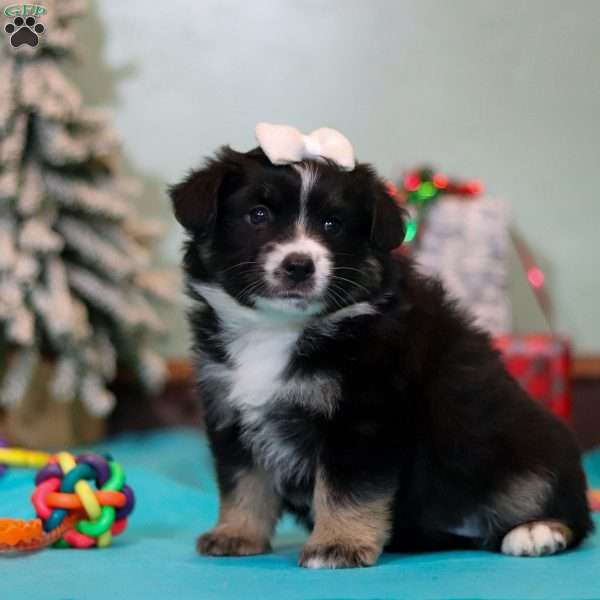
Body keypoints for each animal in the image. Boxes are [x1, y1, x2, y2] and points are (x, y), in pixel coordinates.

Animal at [169, 141, 592, 568]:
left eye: (333, 224)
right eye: (258, 215)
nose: (299, 266)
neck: (278, 329)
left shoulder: (363, 415)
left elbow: (346, 488)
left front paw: (338, 544)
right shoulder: (230, 412)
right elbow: (243, 482)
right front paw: (235, 533)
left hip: (532, 455)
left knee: (571, 512)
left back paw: (537, 531)